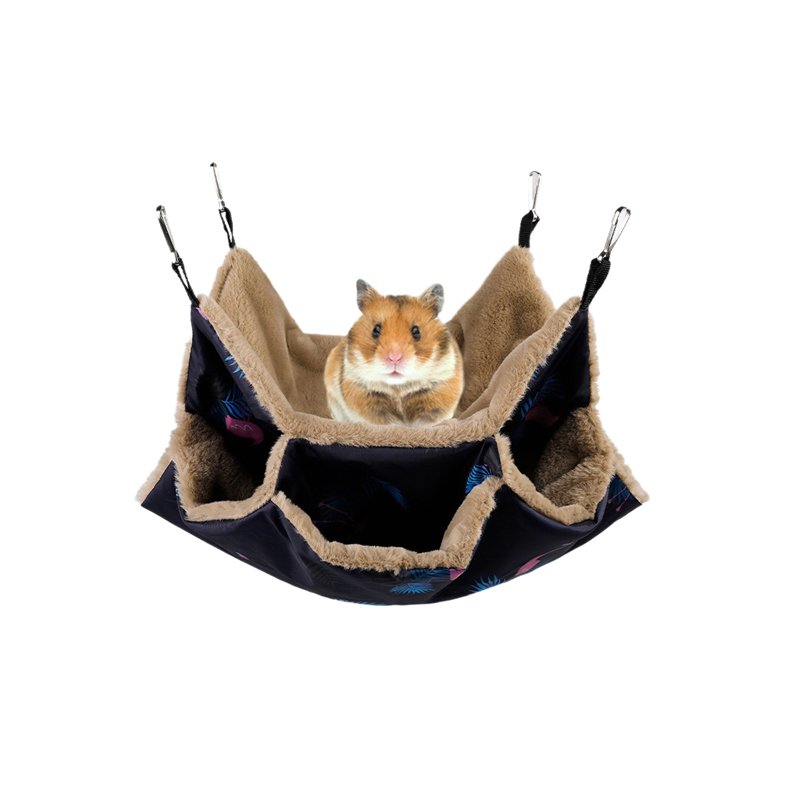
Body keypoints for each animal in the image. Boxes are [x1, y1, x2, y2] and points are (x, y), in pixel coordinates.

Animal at [324, 279, 464, 425]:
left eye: (416, 331)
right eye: (376, 330)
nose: (394, 358)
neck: (398, 389)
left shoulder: (440, 390)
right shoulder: (362, 393)